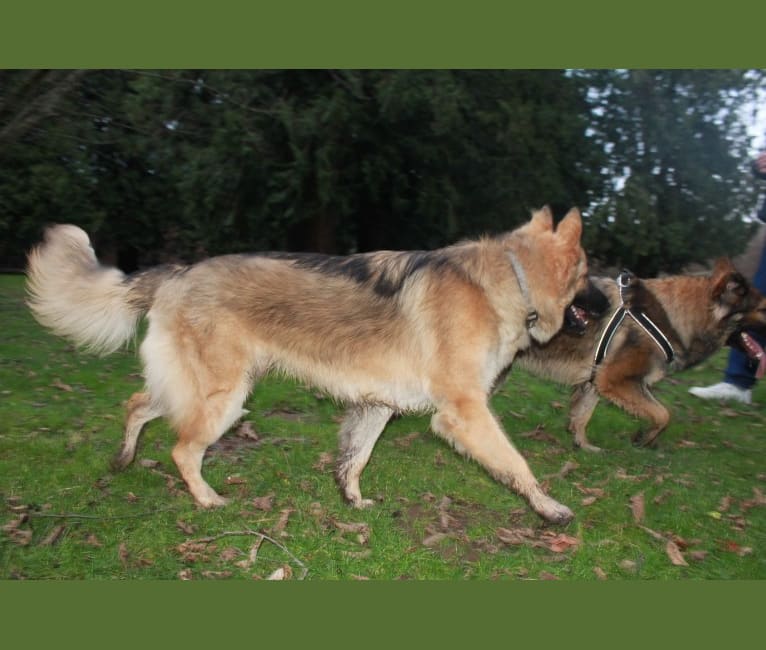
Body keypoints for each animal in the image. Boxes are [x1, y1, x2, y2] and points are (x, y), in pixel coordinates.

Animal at [24, 206, 588, 520]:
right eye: (589, 273)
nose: (610, 294)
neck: (510, 278)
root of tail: (177, 271)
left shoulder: (377, 405)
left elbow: (354, 458)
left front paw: (352, 502)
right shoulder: (464, 412)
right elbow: (517, 463)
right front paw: (549, 509)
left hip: (192, 387)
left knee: (137, 404)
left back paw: (123, 459)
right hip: (224, 397)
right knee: (183, 450)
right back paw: (206, 501)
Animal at [516, 258, 766, 450]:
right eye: (763, 309)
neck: (671, 316)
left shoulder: (599, 378)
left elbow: (583, 413)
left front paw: (583, 444)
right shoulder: (616, 379)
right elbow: (664, 414)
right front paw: (645, 439)